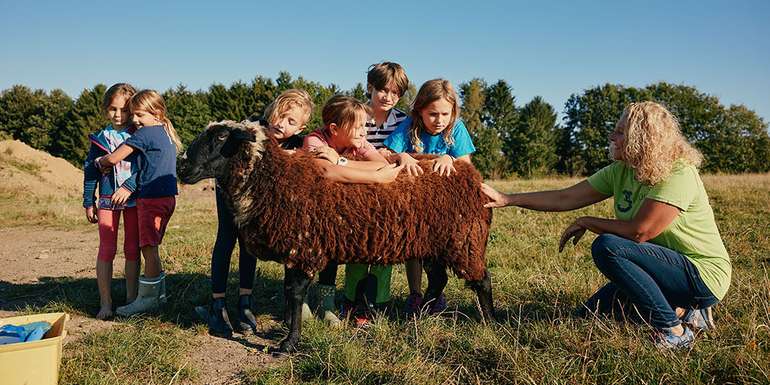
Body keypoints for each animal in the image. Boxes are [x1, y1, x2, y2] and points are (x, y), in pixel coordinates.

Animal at [177, 120, 492, 352]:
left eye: (221, 137)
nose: (182, 166)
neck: (275, 178)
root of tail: (471, 175)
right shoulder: (295, 249)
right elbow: (288, 292)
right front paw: (287, 330)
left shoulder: (304, 248)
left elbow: (294, 293)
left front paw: (289, 343)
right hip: (436, 244)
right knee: (438, 279)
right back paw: (419, 317)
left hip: (464, 240)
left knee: (482, 279)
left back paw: (488, 322)